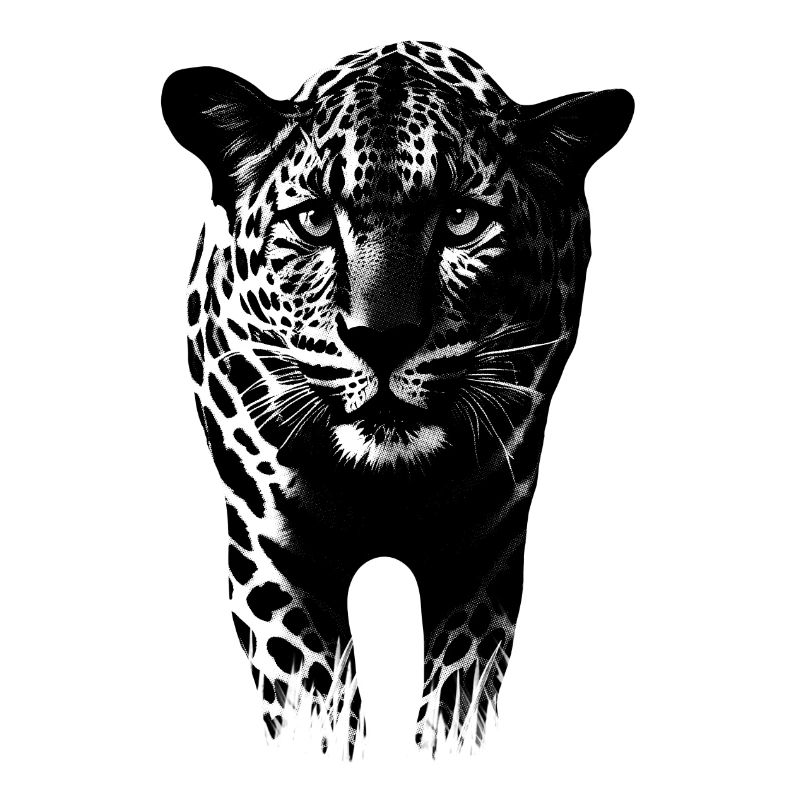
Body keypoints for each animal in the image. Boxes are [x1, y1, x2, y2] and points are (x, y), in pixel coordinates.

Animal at [161, 40, 633, 758]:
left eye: (463, 220)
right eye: (315, 219)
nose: (380, 339)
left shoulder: (484, 556)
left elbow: (458, 700)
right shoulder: (275, 559)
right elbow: (315, 706)